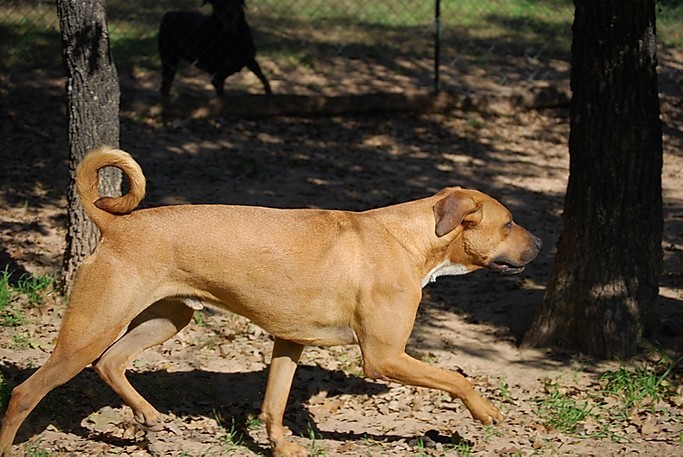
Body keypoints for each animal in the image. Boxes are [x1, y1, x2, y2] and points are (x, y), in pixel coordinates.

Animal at [2, 147, 544, 456]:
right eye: (509, 223)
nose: (540, 245)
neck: (411, 239)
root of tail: (115, 223)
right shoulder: (384, 357)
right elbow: (459, 377)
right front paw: (485, 412)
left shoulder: (289, 341)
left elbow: (273, 405)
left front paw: (281, 446)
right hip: (88, 330)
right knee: (26, 393)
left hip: (168, 318)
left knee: (111, 364)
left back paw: (152, 420)